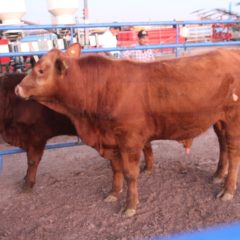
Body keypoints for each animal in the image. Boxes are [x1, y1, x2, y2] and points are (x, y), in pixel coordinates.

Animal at [15, 43, 239, 218]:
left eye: (41, 70)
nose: (18, 89)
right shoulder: (110, 140)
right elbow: (115, 169)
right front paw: (113, 193)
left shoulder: (129, 140)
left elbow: (130, 173)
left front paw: (130, 206)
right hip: (219, 120)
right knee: (223, 146)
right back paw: (218, 175)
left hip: (233, 120)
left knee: (233, 153)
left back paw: (227, 190)